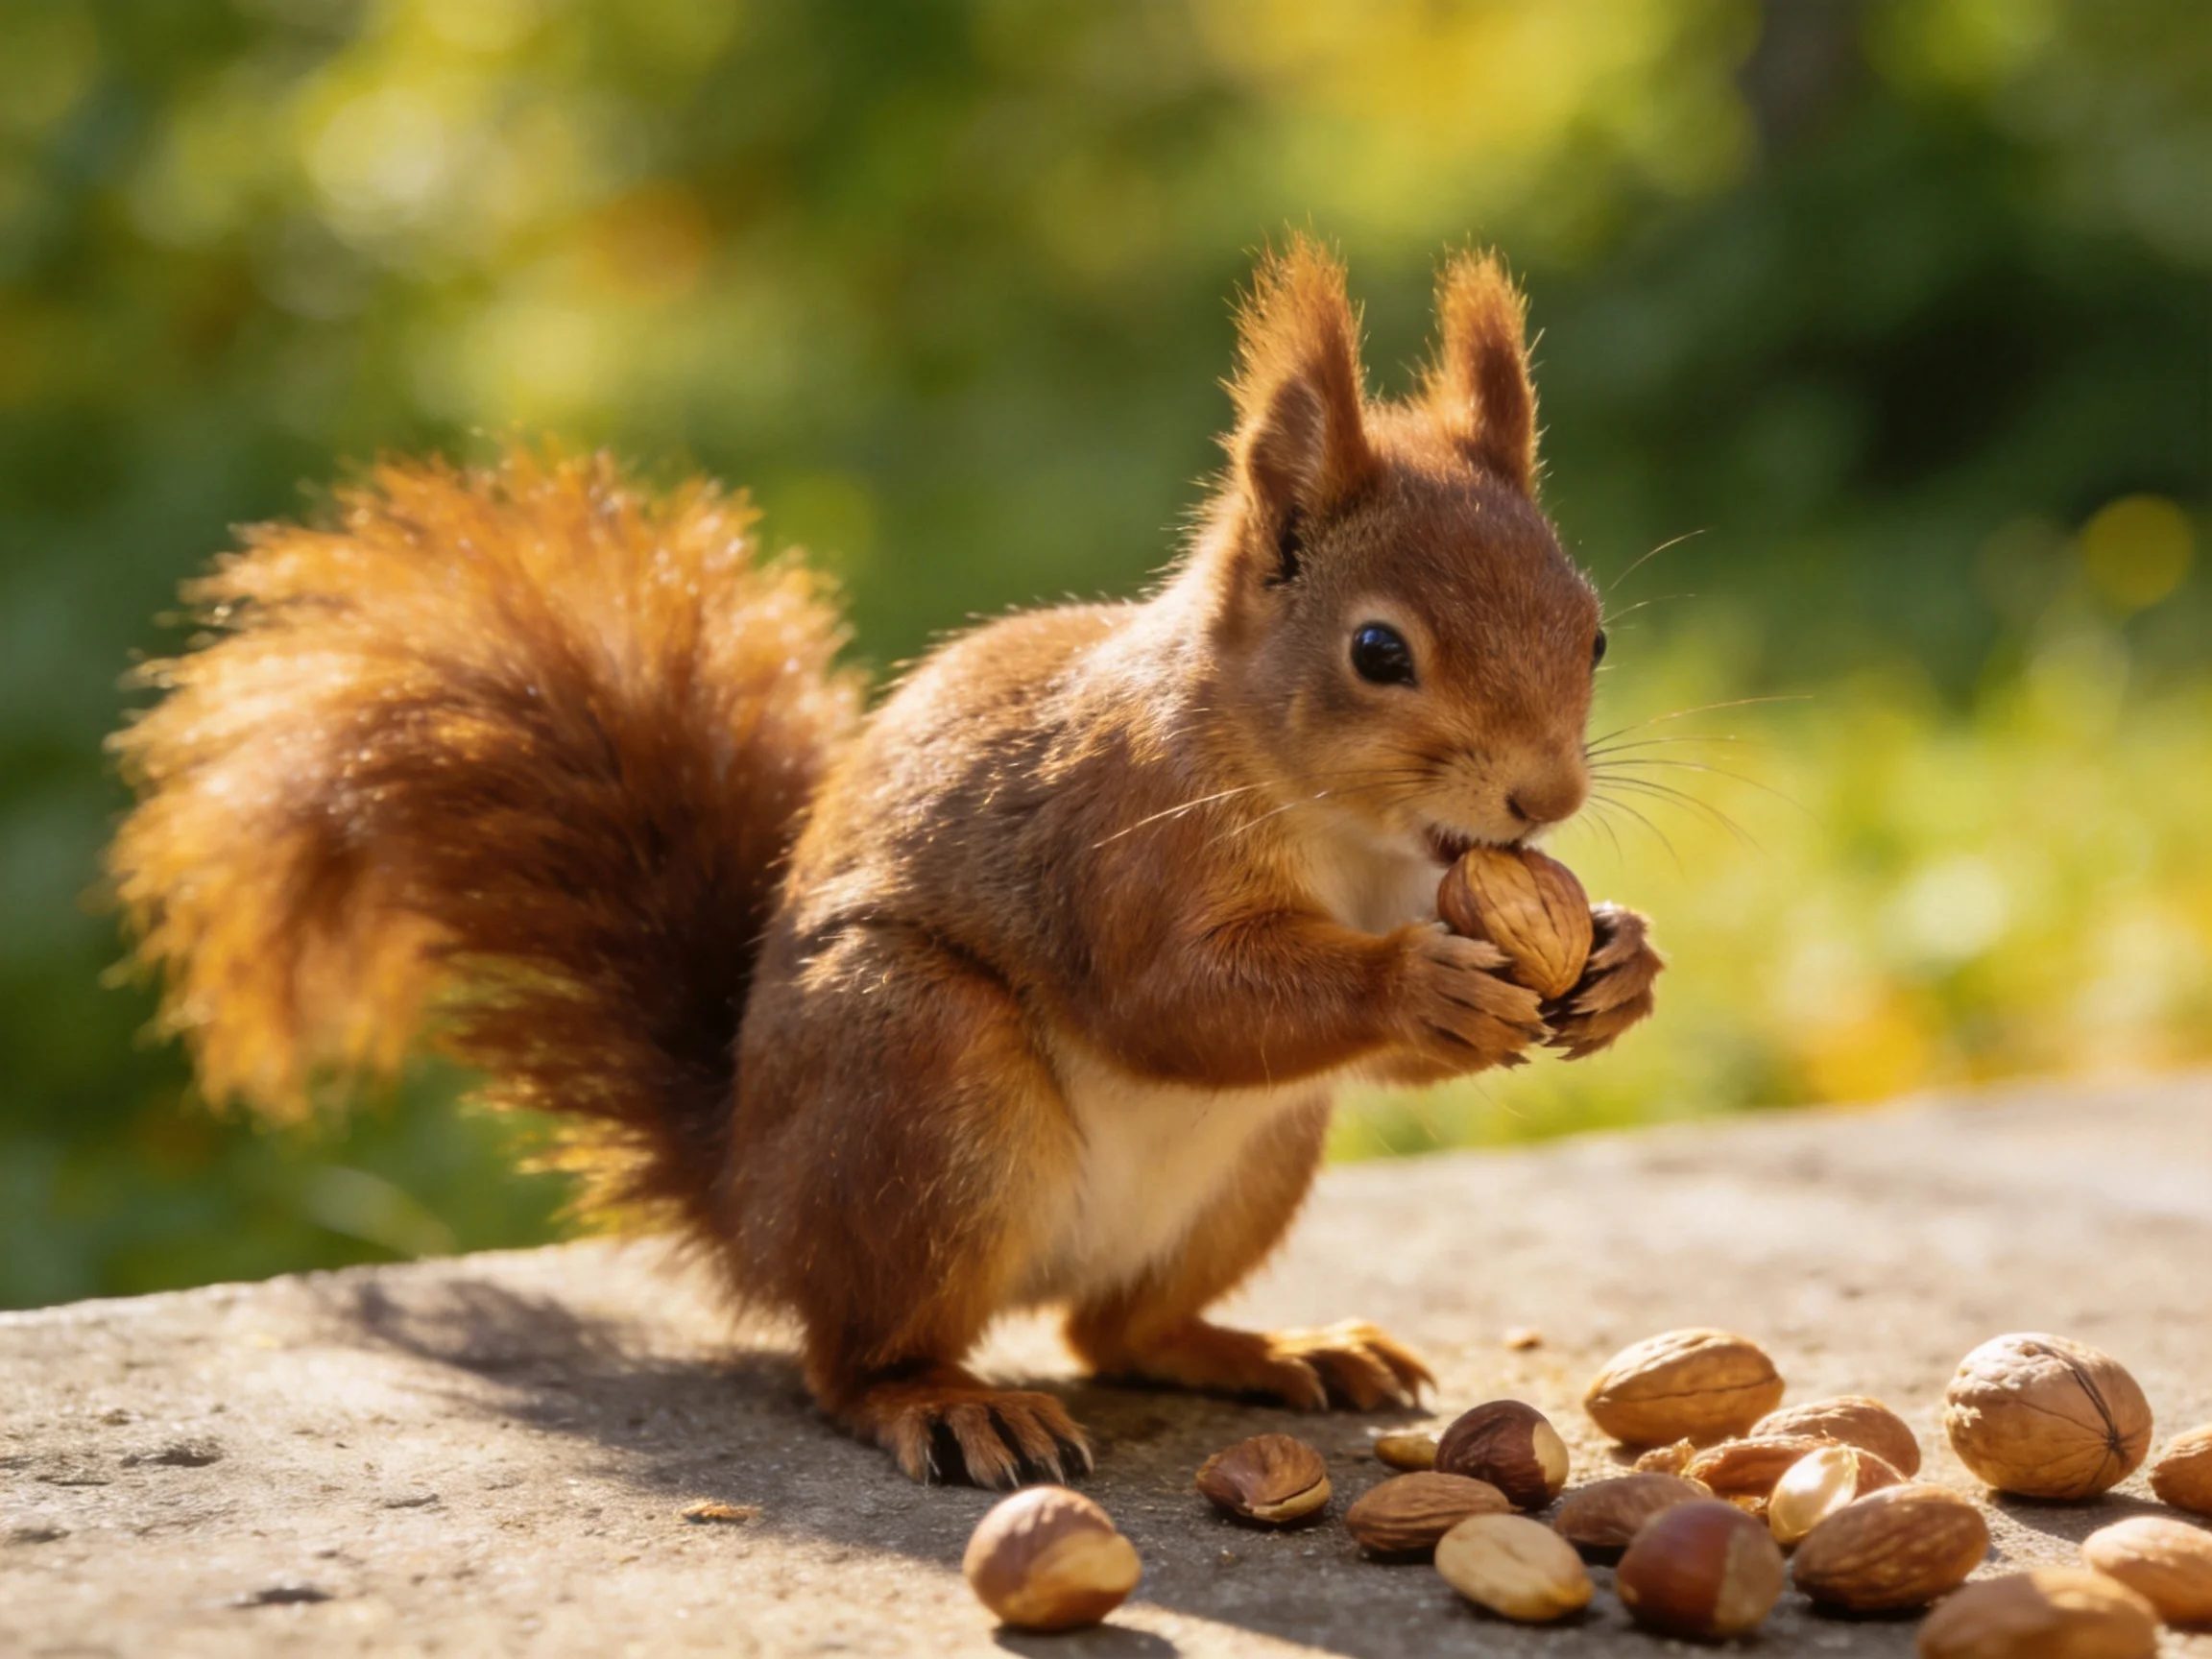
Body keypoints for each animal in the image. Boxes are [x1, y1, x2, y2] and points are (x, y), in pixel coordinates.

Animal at [107, 238, 1663, 1488]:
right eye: (1378, 651)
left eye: (1592, 631)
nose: (1545, 794)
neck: (1349, 840)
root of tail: (750, 1208)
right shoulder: (1119, 836)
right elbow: (1176, 999)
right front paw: (1417, 986)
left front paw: (1623, 963)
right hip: (918, 1080)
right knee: (856, 1356)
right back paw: (948, 1402)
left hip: (1256, 1159)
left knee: (1118, 1326)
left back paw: (1269, 1349)